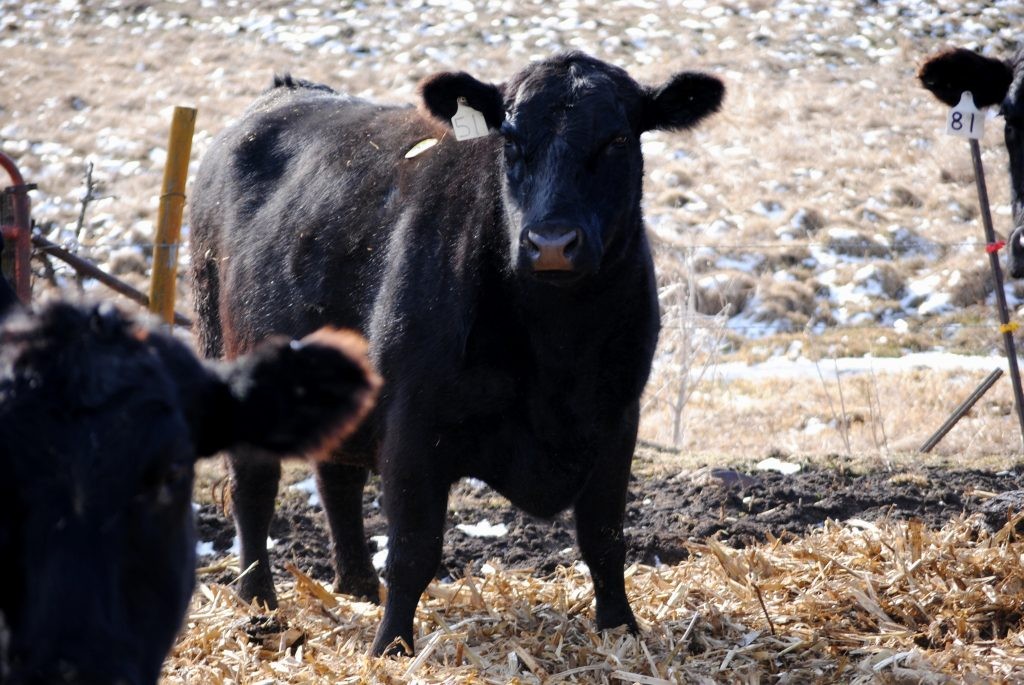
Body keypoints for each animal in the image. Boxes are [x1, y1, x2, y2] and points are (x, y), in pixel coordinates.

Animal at [190, 50, 720, 655]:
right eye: (510, 140)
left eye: (617, 140)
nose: (552, 243)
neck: (558, 344)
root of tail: (283, 91)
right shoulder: (412, 422)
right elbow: (414, 549)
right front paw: (391, 648)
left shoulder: (616, 418)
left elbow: (604, 538)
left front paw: (621, 629)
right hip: (231, 353)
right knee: (252, 490)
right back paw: (258, 601)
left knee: (337, 479)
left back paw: (357, 587)